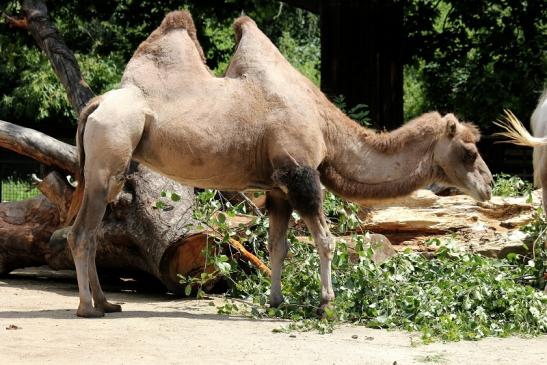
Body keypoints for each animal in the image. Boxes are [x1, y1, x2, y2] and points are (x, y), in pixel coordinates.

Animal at [66, 10, 494, 316]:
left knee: (91, 231)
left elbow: (278, 245)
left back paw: (107, 302)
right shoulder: (300, 173)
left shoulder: (276, 187)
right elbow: (325, 239)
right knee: (82, 233)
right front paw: (327, 305)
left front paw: (276, 301)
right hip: (109, 154)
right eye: (469, 151)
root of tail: (95, 105)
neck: (324, 125)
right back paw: (88, 307)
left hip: (105, 167)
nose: (488, 186)